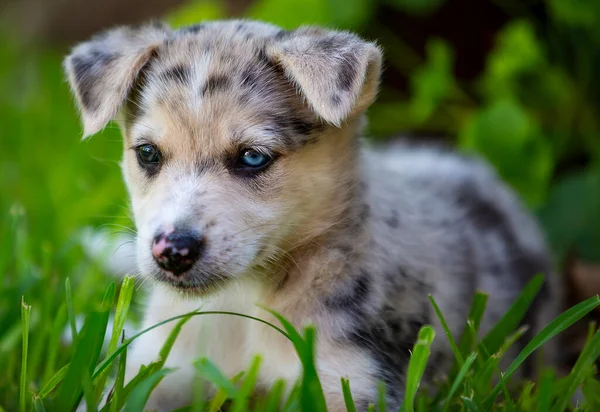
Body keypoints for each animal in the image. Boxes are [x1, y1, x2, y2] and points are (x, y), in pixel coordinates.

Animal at [63, 20, 556, 410]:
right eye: (148, 154)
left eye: (253, 157)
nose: (172, 251)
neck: (240, 302)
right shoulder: (158, 367)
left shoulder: (350, 383)